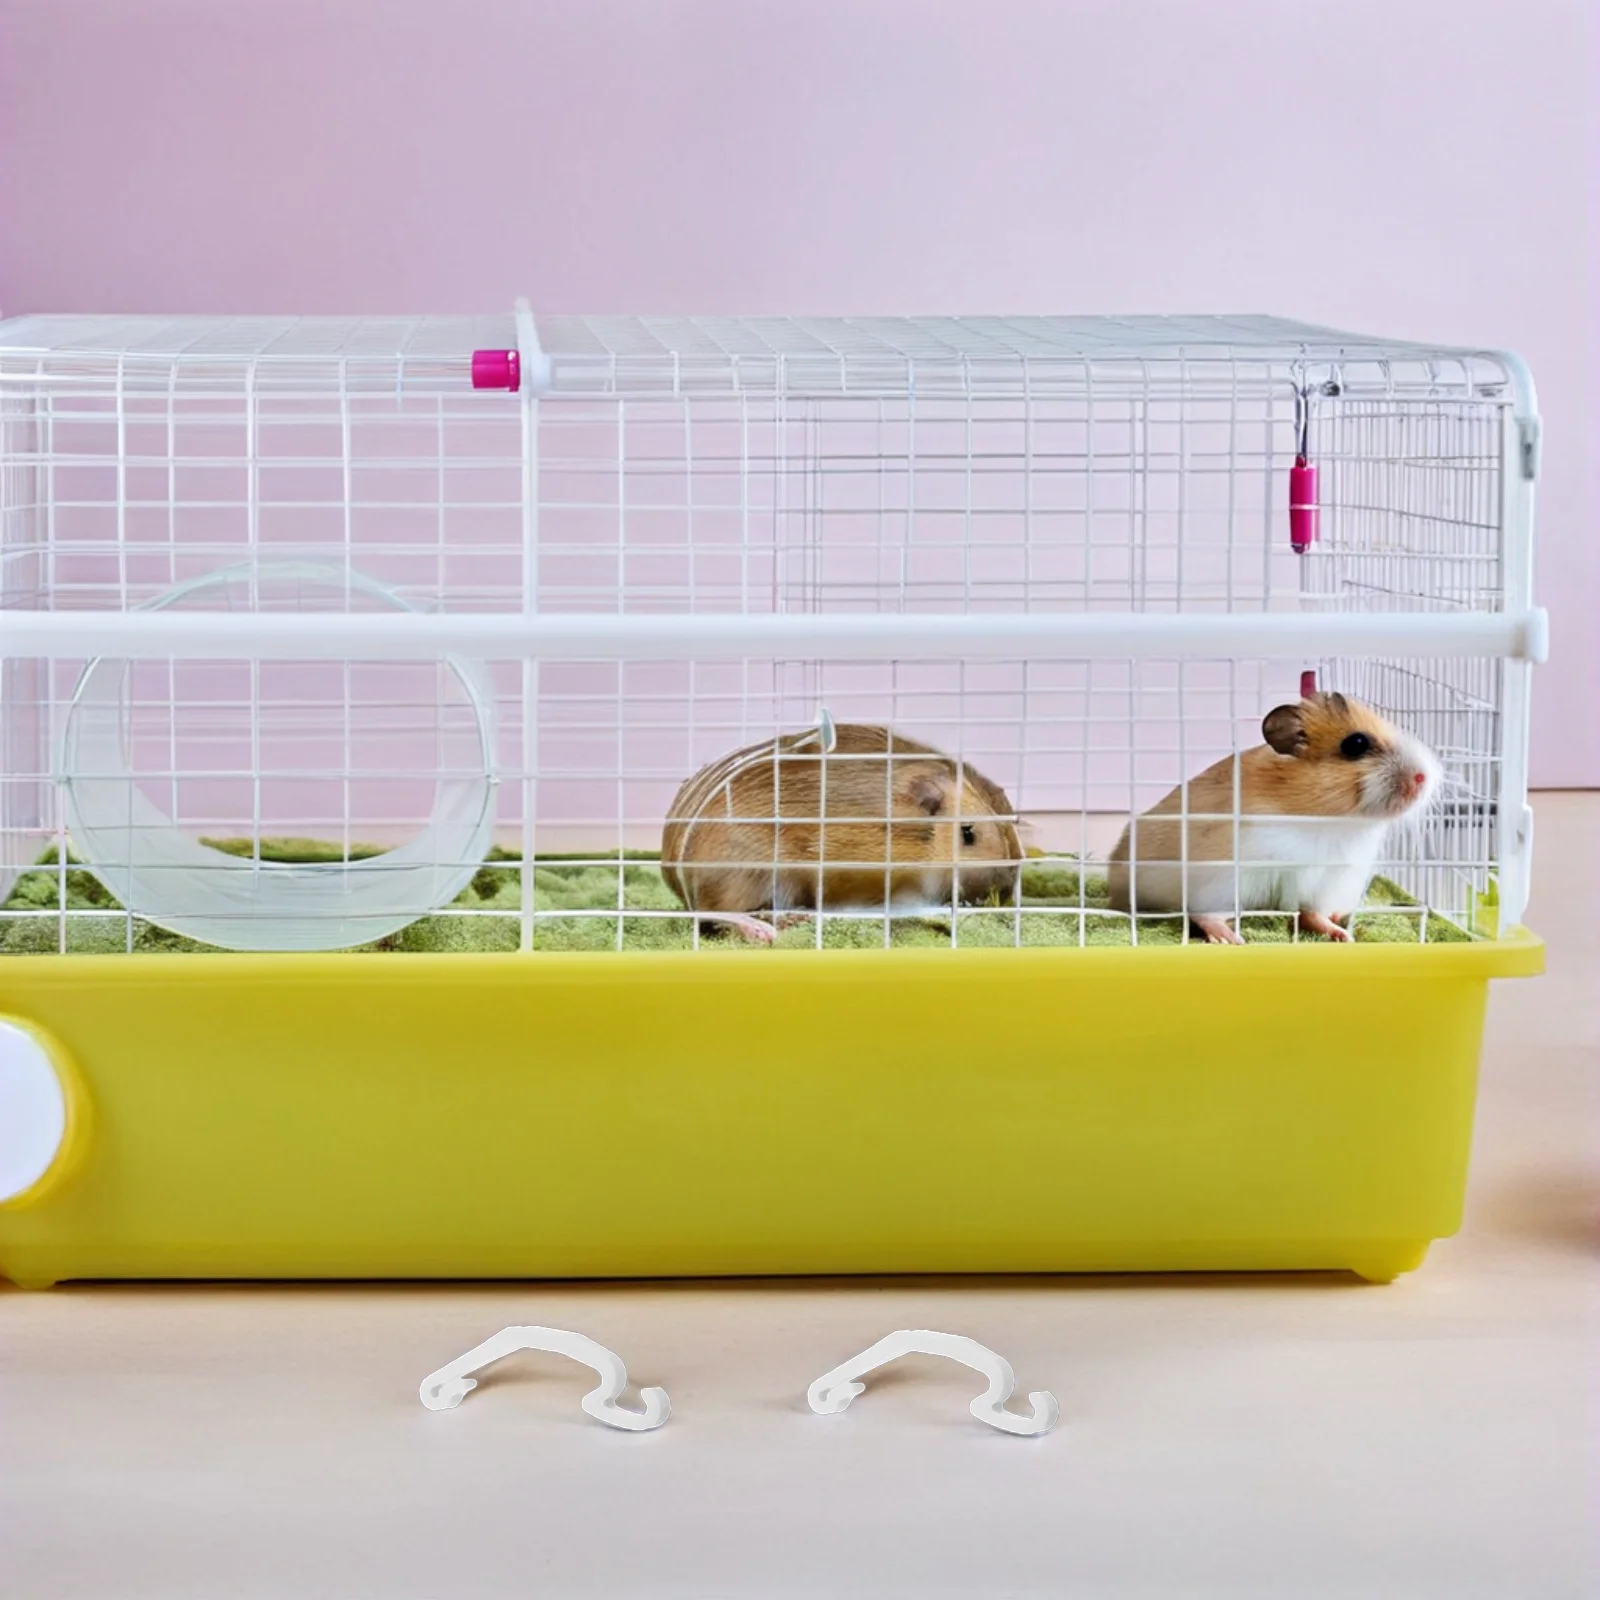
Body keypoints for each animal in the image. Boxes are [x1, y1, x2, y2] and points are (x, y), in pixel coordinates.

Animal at [661, 723, 1023, 943]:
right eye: (968, 835)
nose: (1003, 891)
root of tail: (676, 874)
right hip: (744, 873)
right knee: (715, 912)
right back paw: (767, 930)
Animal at [1108, 691, 1441, 944]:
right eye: (1356, 744)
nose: (1424, 777)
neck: (1334, 821)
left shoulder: (1329, 881)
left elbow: (1314, 913)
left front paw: (1343, 936)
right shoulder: (1228, 875)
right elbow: (1205, 912)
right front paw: (1231, 940)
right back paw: (1230, 939)